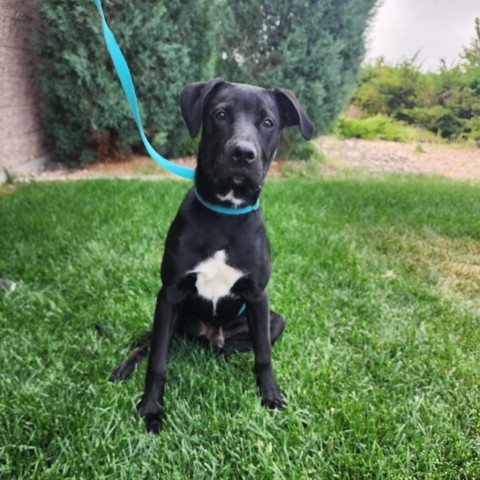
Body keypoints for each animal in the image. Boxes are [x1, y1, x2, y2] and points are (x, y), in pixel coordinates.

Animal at [111, 78, 316, 432]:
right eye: (220, 114)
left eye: (268, 122)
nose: (243, 154)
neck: (226, 213)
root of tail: (210, 334)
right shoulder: (170, 294)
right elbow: (158, 360)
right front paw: (150, 409)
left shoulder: (258, 296)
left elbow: (264, 355)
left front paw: (270, 397)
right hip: (172, 314)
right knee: (151, 342)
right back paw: (127, 366)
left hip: (274, 320)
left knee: (235, 346)